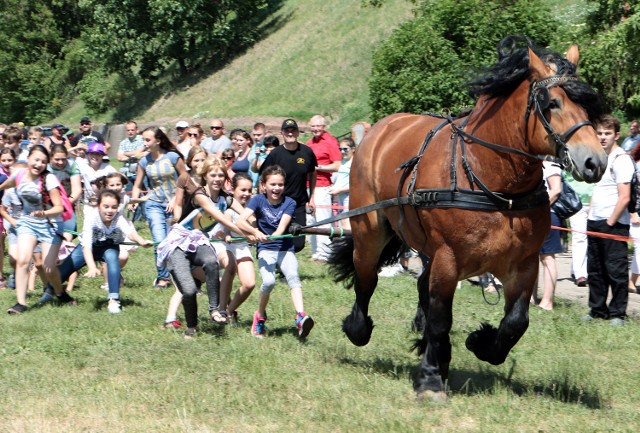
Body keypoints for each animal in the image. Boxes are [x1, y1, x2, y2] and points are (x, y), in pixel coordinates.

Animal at [328, 38, 608, 398]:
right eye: (554, 103)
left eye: (587, 106)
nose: (595, 161)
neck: (496, 183)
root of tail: (378, 130)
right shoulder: (448, 259)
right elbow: (440, 318)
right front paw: (431, 378)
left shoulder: (524, 264)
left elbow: (516, 321)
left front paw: (481, 343)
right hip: (370, 232)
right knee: (366, 278)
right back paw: (358, 328)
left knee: (420, 285)